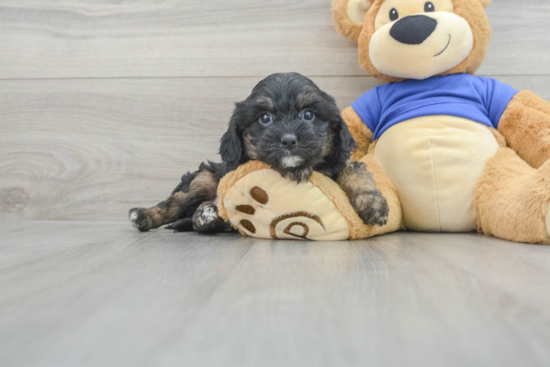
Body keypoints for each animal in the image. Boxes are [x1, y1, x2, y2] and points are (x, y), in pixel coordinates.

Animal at [129, 72, 390, 233]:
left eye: (308, 115)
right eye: (265, 118)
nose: (289, 140)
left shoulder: (337, 164)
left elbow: (353, 170)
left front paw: (373, 204)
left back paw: (207, 214)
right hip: (204, 179)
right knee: (174, 205)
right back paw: (145, 215)